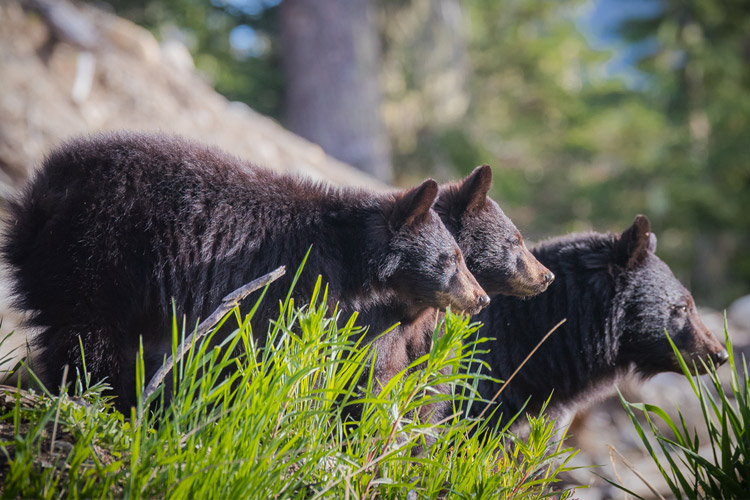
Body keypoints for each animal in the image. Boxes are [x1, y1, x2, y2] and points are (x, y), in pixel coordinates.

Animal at [1, 132, 494, 410]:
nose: (481, 297)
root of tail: (42, 191)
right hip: (100, 251)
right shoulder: (293, 286)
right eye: (452, 258)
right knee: (89, 335)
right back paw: (99, 396)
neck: (351, 258)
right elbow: (280, 354)